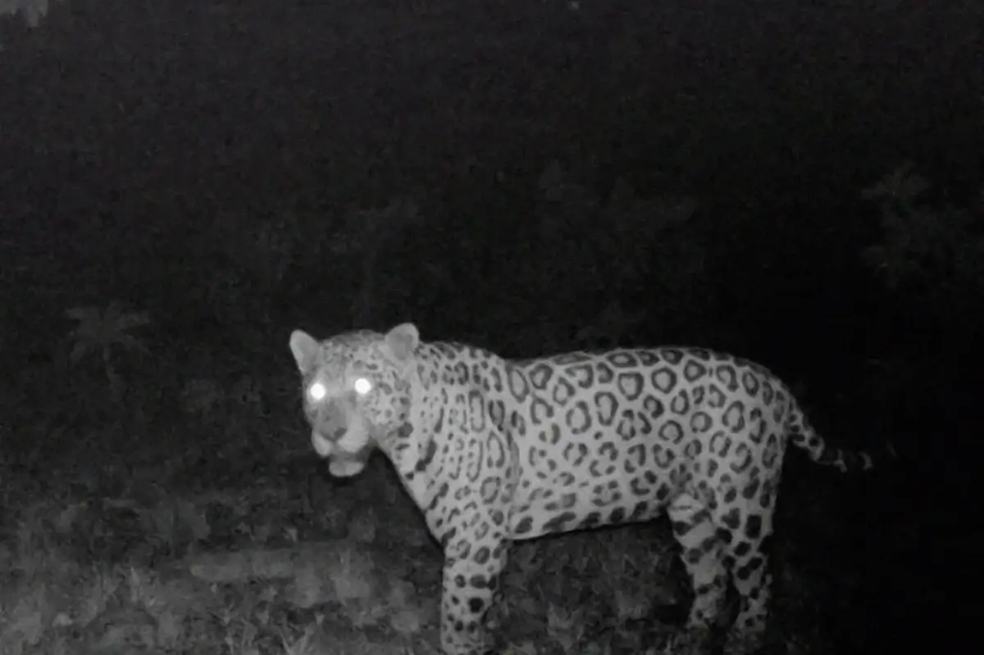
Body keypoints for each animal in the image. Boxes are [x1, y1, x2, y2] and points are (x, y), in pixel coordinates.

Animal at [289, 322, 880, 655]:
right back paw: (688, 639)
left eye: (364, 385)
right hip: (690, 511)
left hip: (744, 501)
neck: (409, 434)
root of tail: (773, 381)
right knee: (711, 579)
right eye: (316, 391)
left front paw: (462, 644)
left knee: (758, 580)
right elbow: (477, 610)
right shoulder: (480, 545)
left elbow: (455, 613)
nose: (331, 433)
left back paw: (744, 640)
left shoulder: (475, 541)